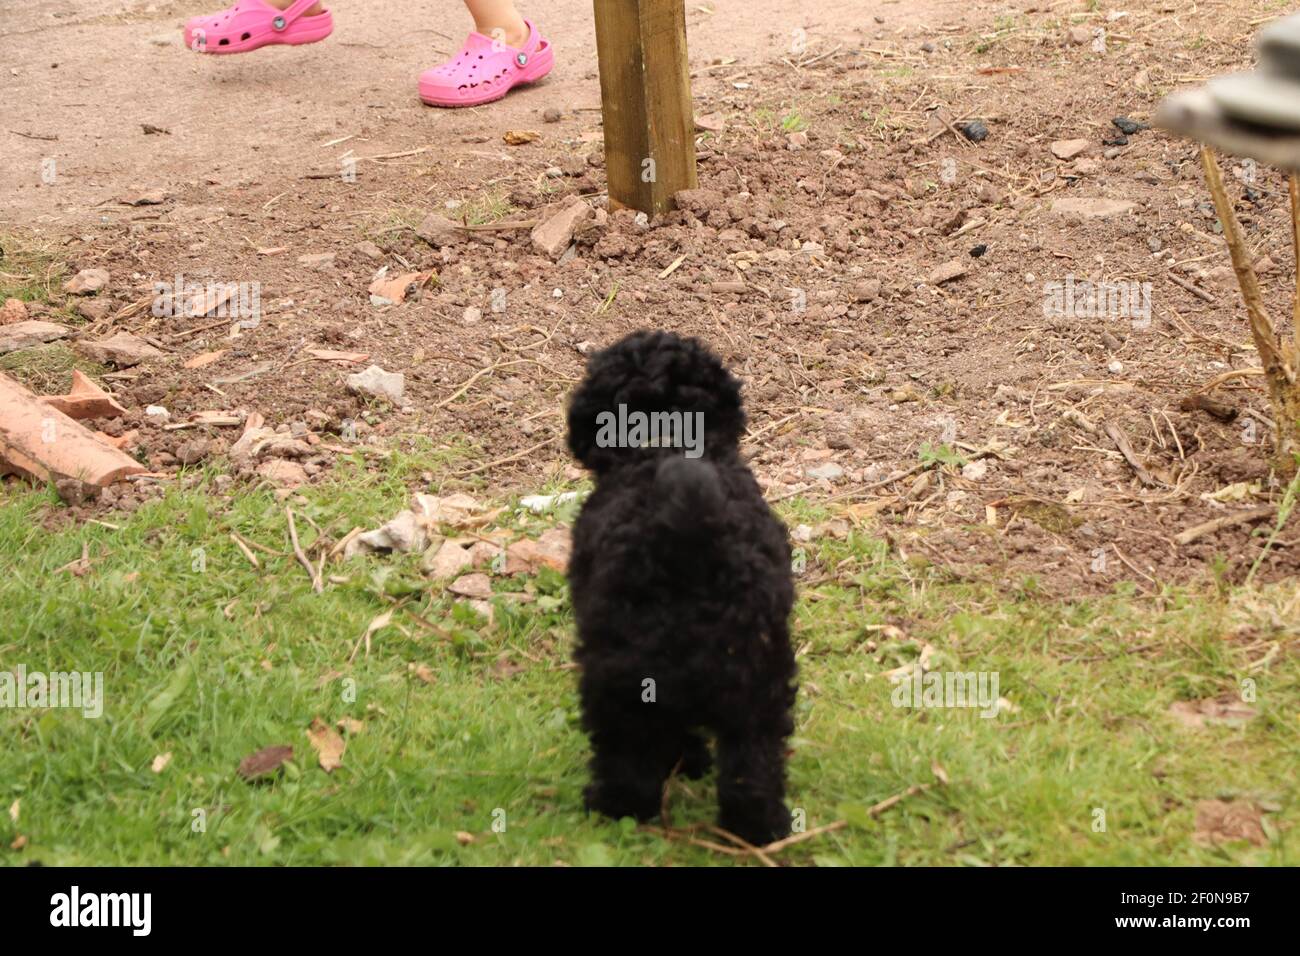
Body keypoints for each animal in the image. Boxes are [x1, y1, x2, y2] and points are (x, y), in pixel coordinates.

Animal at [569, 329, 800, 842]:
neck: (663, 438)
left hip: (619, 684)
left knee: (627, 758)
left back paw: (613, 808)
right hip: (759, 686)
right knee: (752, 766)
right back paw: (759, 830)